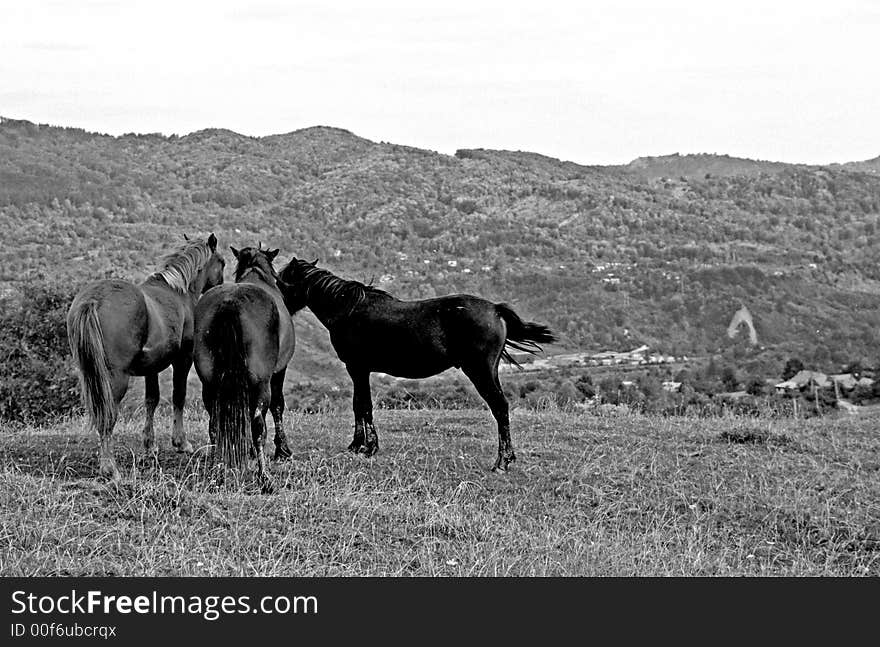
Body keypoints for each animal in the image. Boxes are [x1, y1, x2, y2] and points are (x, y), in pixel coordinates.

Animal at [67, 235, 225, 484]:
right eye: (222, 262)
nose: (221, 283)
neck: (177, 292)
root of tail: (93, 300)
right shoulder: (183, 359)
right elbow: (178, 396)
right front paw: (180, 442)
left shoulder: (152, 366)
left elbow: (152, 400)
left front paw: (150, 446)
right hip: (115, 379)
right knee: (108, 417)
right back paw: (110, 468)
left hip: (90, 375)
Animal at [193, 246, 296, 488]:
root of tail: (230, 303)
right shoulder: (278, 372)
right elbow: (278, 406)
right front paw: (282, 450)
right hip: (261, 383)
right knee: (258, 424)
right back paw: (264, 477)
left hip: (209, 385)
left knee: (215, 425)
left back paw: (217, 471)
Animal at [276, 256, 556, 474]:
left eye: (282, 279)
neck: (348, 308)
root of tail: (495, 309)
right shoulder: (359, 370)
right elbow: (359, 406)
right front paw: (358, 446)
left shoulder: (357, 368)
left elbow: (363, 405)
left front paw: (367, 447)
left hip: (480, 371)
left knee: (499, 408)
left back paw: (502, 462)